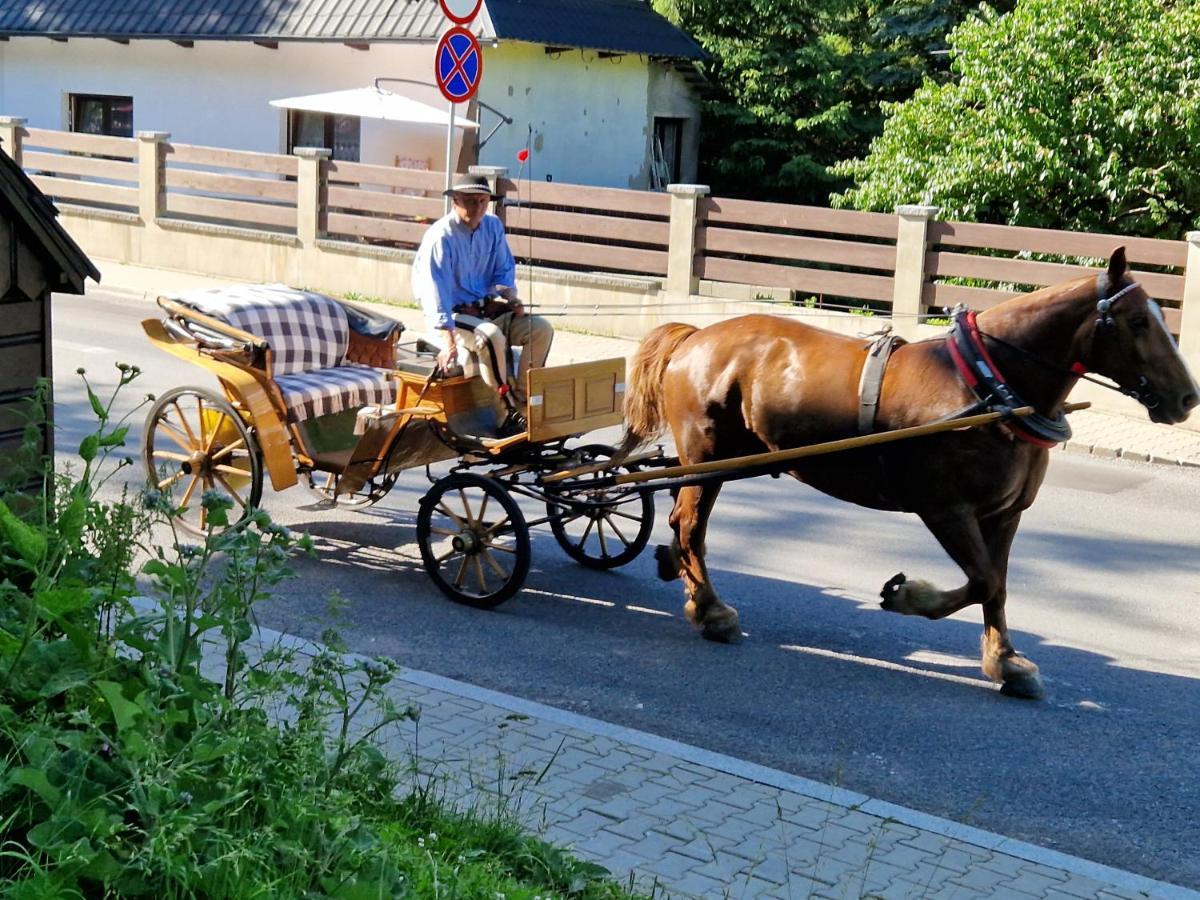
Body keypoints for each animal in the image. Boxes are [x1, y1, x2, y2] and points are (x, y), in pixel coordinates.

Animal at [624, 250, 1195, 700]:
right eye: (1136, 322)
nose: (1188, 398)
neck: (988, 385)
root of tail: (697, 335)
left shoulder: (1005, 514)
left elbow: (998, 585)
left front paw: (1006, 662)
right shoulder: (946, 509)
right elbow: (982, 580)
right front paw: (908, 596)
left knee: (680, 521)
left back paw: (680, 574)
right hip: (706, 458)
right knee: (691, 527)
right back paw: (710, 609)